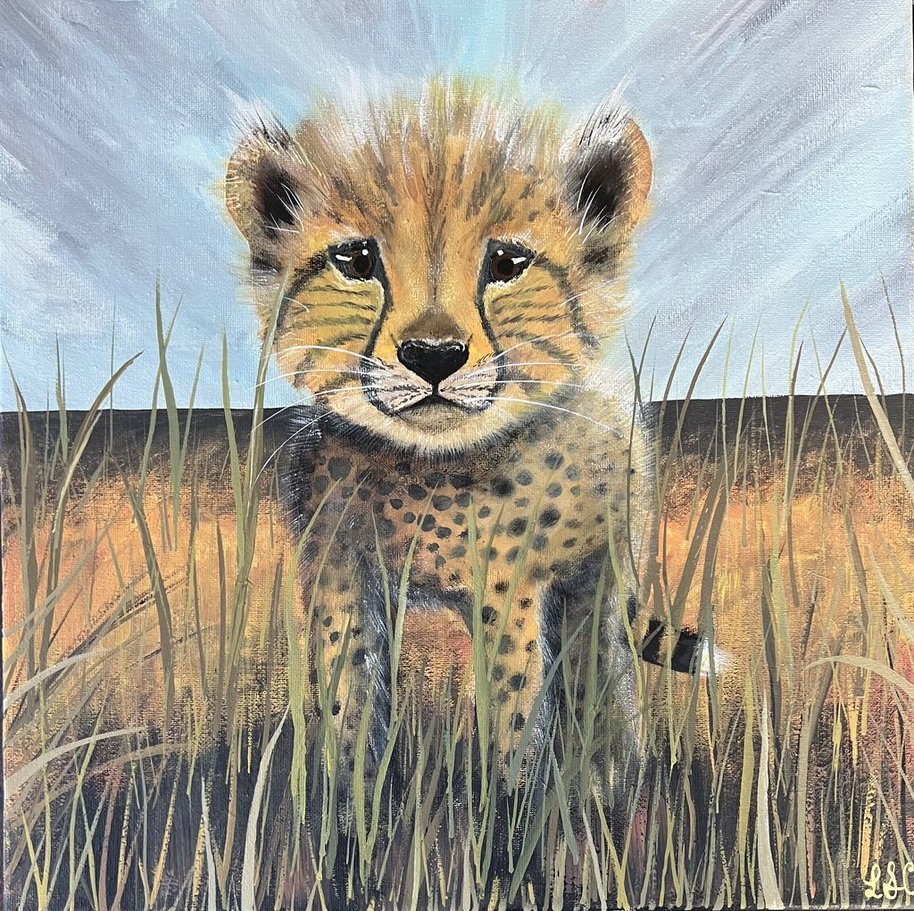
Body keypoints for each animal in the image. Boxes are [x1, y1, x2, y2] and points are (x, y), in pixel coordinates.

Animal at [225, 79, 655, 908]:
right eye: (357, 259)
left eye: (507, 261)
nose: (433, 355)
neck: (424, 465)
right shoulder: (341, 580)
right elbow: (349, 717)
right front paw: (352, 848)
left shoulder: (510, 596)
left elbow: (515, 730)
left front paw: (512, 856)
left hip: (600, 580)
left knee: (601, 689)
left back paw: (606, 796)